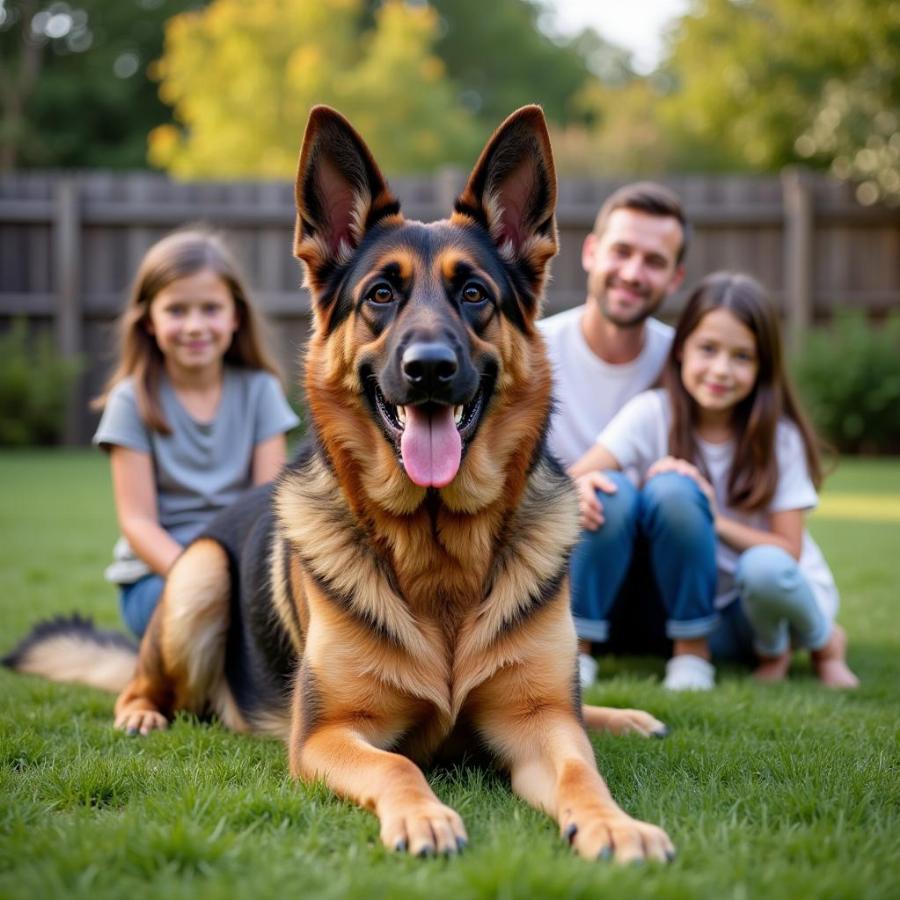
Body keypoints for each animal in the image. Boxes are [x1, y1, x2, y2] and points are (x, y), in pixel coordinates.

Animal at [3, 105, 672, 864]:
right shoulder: (326, 734)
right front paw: (424, 816)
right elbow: (399, 765)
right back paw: (144, 713)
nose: (430, 368)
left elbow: (579, 769)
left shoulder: (540, 720)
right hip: (200, 575)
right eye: (381, 294)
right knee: (141, 684)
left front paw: (614, 824)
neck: (437, 549)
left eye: (474, 294)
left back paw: (621, 716)